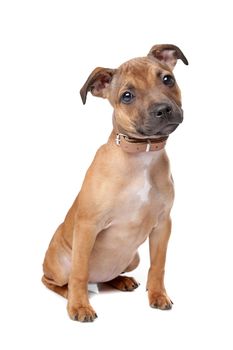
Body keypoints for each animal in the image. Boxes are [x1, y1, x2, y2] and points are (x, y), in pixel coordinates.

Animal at [41, 44, 187, 322]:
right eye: (127, 96)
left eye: (167, 79)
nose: (163, 109)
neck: (142, 155)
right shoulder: (88, 226)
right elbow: (79, 273)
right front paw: (79, 307)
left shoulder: (163, 225)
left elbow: (158, 265)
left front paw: (158, 295)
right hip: (59, 265)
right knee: (56, 280)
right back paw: (70, 295)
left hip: (133, 258)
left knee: (107, 276)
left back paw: (121, 281)